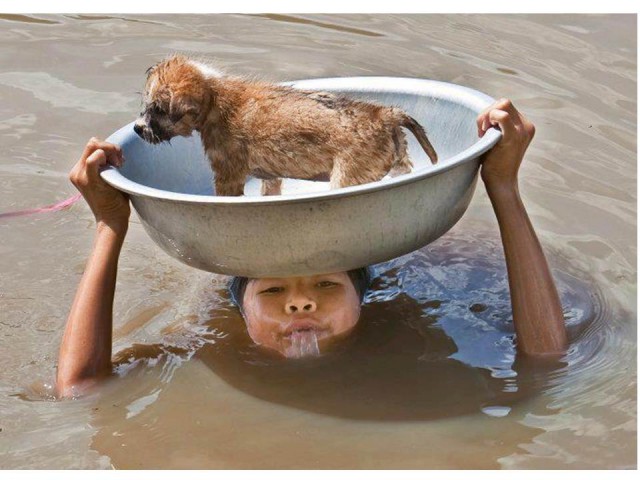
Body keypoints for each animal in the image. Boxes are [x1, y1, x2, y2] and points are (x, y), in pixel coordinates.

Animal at [132, 55, 438, 197]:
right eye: (146, 105)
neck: (214, 97)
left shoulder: (227, 174)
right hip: (399, 162)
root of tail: (384, 114)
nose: (137, 128)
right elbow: (270, 188)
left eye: (158, 110)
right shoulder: (270, 176)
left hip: (347, 177)